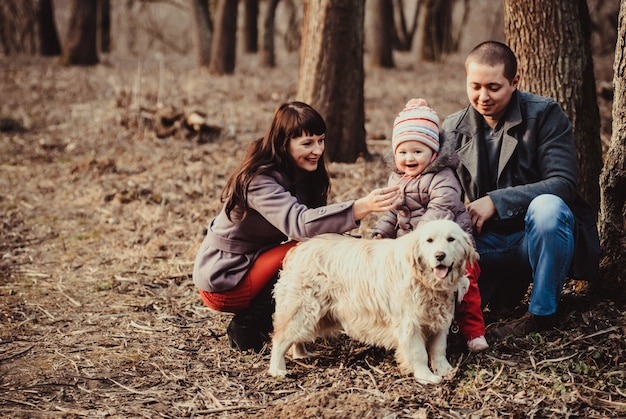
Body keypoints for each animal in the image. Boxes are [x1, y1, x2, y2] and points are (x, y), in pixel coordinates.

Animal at [266, 221, 476, 386]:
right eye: (429, 240)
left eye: (451, 239)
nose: (439, 256)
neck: (425, 280)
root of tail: (298, 249)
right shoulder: (409, 324)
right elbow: (419, 353)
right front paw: (426, 377)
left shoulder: (440, 321)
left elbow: (438, 349)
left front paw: (445, 370)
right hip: (303, 309)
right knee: (280, 338)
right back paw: (277, 369)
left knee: (294, 337)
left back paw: (301, 354)